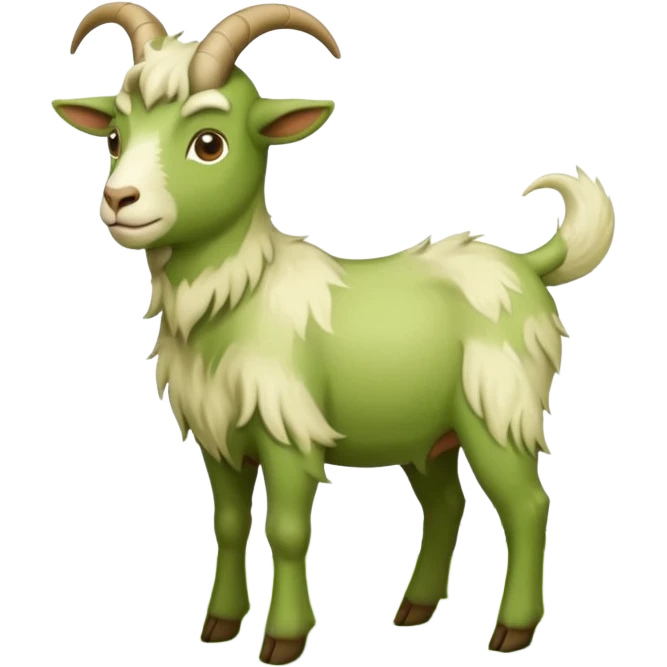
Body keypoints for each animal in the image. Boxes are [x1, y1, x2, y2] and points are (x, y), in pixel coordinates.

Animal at [51, 2, 615, 663]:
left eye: (209, 143)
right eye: (115, 137)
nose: (119, 200)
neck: (241, 290)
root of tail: (526, 264)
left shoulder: (287, 429)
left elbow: (289, 531)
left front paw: (284, 639)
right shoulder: (221, 436)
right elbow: (229, 524)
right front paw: (219, 626)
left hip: (499, 407)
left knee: (527, 506)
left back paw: (512, 631)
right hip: (430, 431)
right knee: (446, 505)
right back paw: (414, 609)